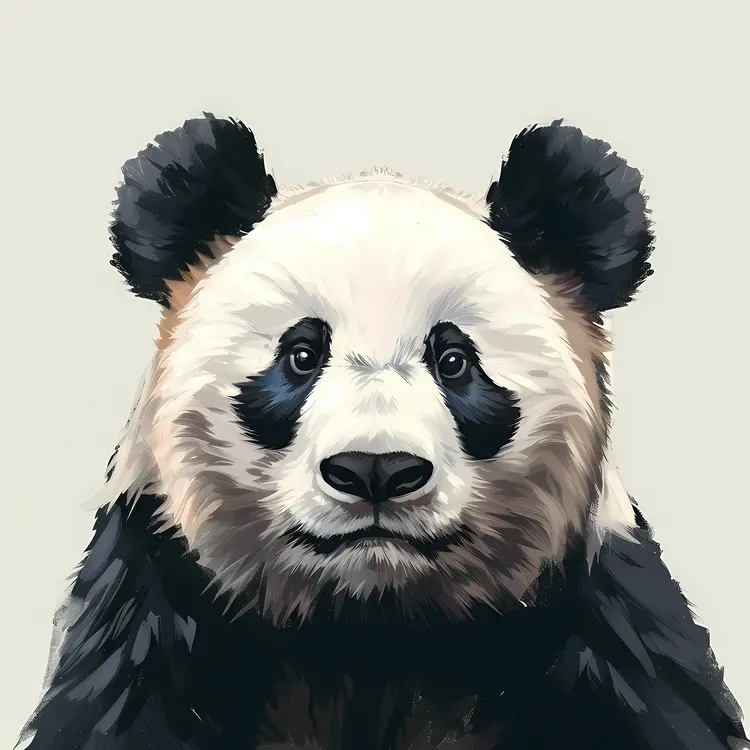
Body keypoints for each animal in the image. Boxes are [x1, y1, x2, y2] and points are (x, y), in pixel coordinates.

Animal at [16, 114, 747, 750]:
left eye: (453, 361)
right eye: (301, 354)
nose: (376, 470)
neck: (371, 626)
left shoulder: (605, 627)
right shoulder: (151, 609)